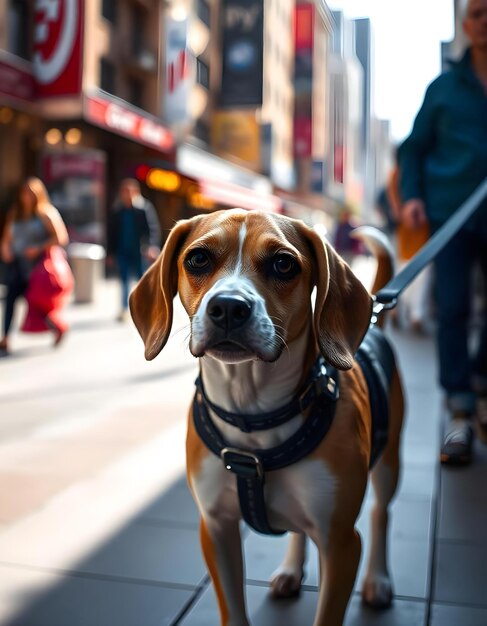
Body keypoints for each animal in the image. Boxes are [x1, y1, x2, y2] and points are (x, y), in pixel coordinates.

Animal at [130, 210, 404, 624]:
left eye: (283, 264)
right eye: (198, 259)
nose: (229, 306)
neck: (254, 415)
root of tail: (376, 324)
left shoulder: (340, 542)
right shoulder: (216, 529)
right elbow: (233, 609)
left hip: (389, 464)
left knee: (381, 513)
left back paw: (379, 579)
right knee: (299, 529)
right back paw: (291, 570)